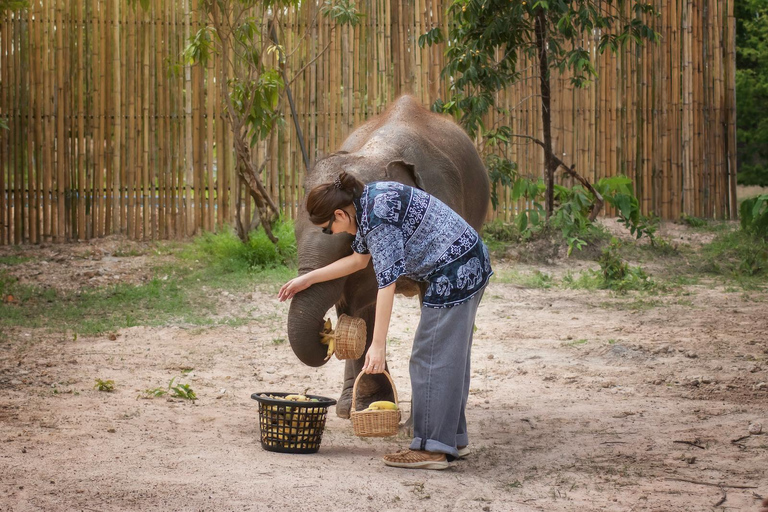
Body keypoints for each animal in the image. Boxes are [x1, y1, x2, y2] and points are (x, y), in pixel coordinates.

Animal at [284, 95, 488, 420]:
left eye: (347, 245)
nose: (324, 331)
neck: (374, 155)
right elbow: (356, 307)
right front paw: (367, 405)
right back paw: (347, 408)